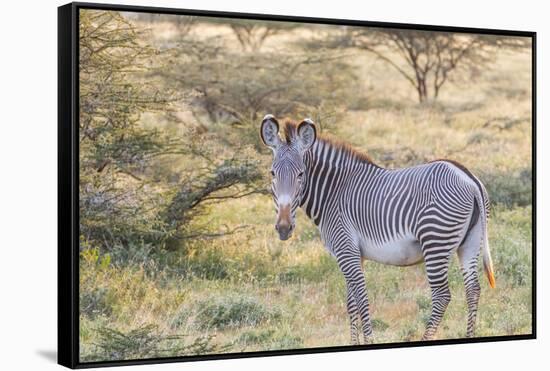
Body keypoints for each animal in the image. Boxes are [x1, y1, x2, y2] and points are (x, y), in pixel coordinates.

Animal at [260, 115, 498, 344]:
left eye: (301, 174)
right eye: (272, 173)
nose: (283, 228)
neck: (333, 193)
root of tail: (468, 178)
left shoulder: (345, 250)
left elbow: (361, 298)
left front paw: (369, 340)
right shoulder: (355, 255)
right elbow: (351, 303)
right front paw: (354, 343)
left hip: (435, 241)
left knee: (442, 295)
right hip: (470, 243)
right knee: (473, 289)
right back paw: (469, 336)